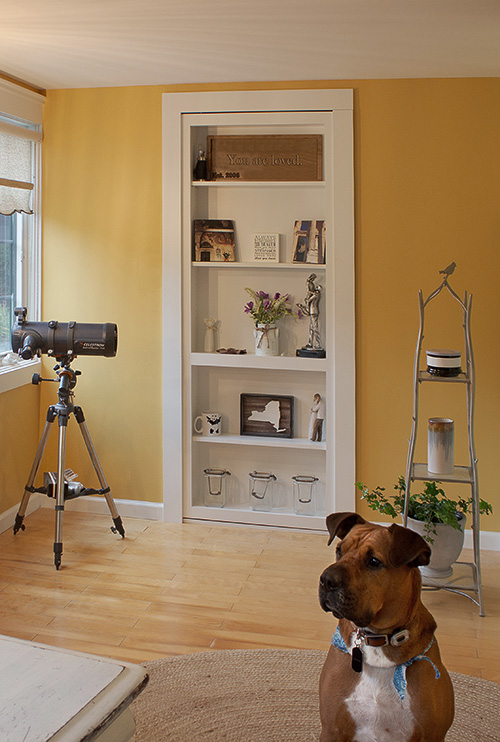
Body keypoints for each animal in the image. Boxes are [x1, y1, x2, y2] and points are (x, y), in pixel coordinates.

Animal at [318, 516, 456, 742]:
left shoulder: (432, 735)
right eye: (339, 550)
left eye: (374, 561)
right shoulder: (331, 730)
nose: (326, 579)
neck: (378, 639)